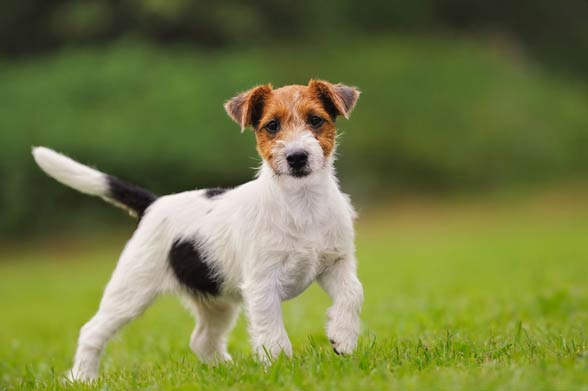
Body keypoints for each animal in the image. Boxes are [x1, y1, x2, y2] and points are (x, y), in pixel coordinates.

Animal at [33, 79, 362, 382]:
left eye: (316, 120)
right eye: (272, 125)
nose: (297, 157)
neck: (302, 203)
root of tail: (154, 203)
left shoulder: (336, 262)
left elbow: (353, 293)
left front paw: (343, 337)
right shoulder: (262, 284)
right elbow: (271, 332)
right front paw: (281, 366)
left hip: (215, 299)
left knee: (202, 340)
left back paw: (227, 369)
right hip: (131, 291)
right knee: (92, 331)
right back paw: (82, 377)